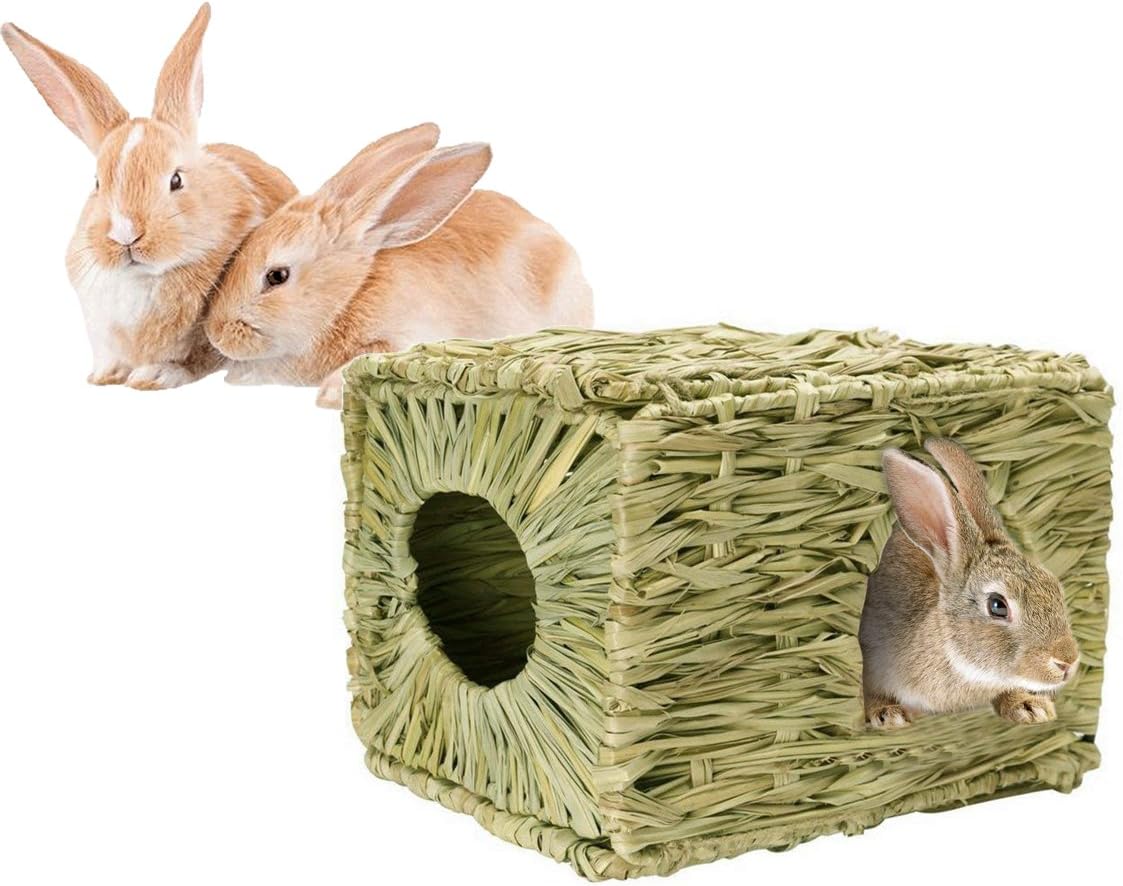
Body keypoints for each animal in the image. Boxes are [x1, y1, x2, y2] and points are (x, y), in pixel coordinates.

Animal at [2, 4, 296, 390]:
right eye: (97, 182)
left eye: (176, 179)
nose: (126, 234)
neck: (143, 278)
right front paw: (104, 375)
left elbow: (194, 360)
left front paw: (153, 376)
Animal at [204, 122, 594, 408]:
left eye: (277, 276)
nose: (217, 335)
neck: (350, 294)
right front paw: (238, 377)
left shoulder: (405, 337)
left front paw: (330, 394)